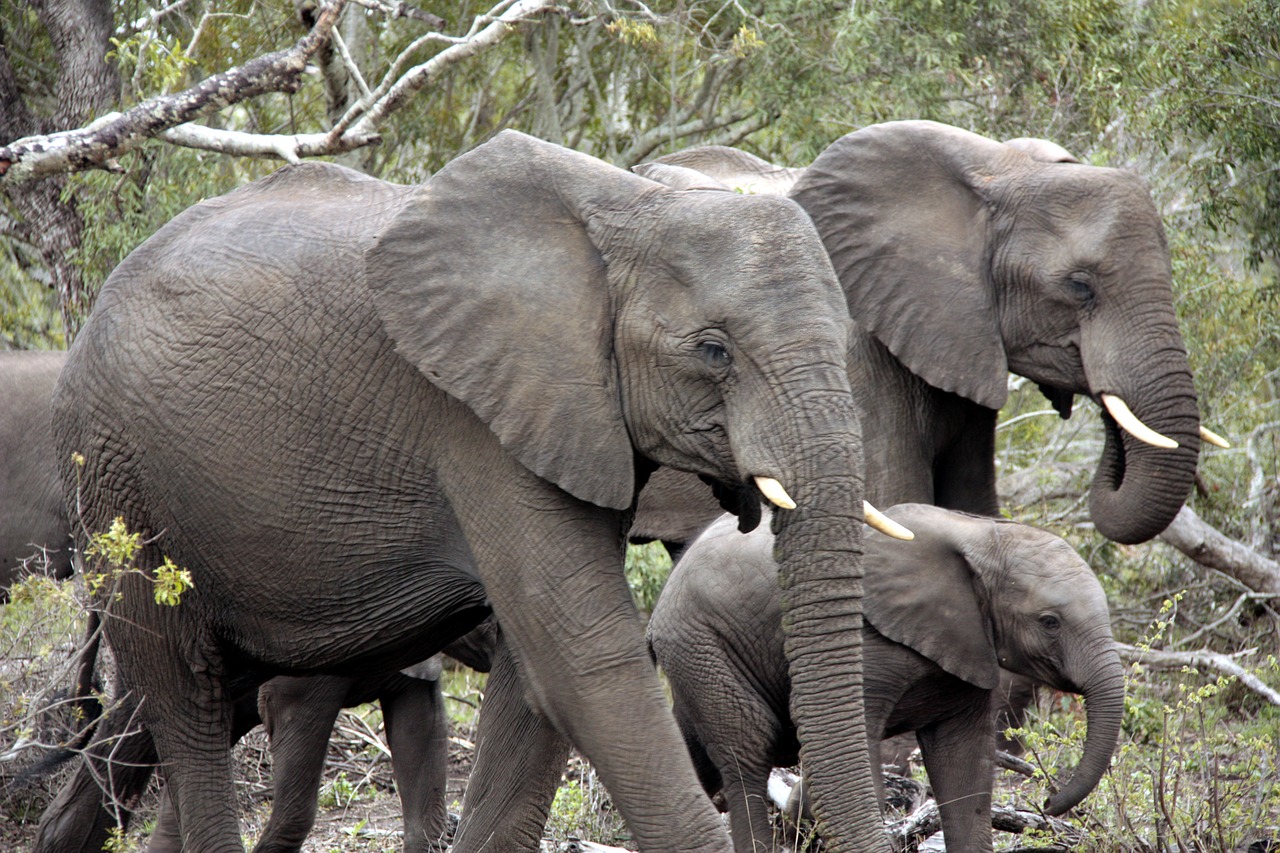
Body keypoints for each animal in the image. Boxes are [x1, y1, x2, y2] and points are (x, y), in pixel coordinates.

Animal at [40, 131, 896, 850]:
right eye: (714, 351)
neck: (629, 206)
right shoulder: (475, 421)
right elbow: (581, 659)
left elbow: (532, 686)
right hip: (119, 478)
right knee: (186, 696)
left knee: (173, 703)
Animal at [650, 502, 1121, 850]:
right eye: (1049, 622)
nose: (1048, 800)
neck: (982, 534)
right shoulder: (864, 643)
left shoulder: (969, 646)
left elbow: (964, 768)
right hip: (702, 641)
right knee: (748, 751)